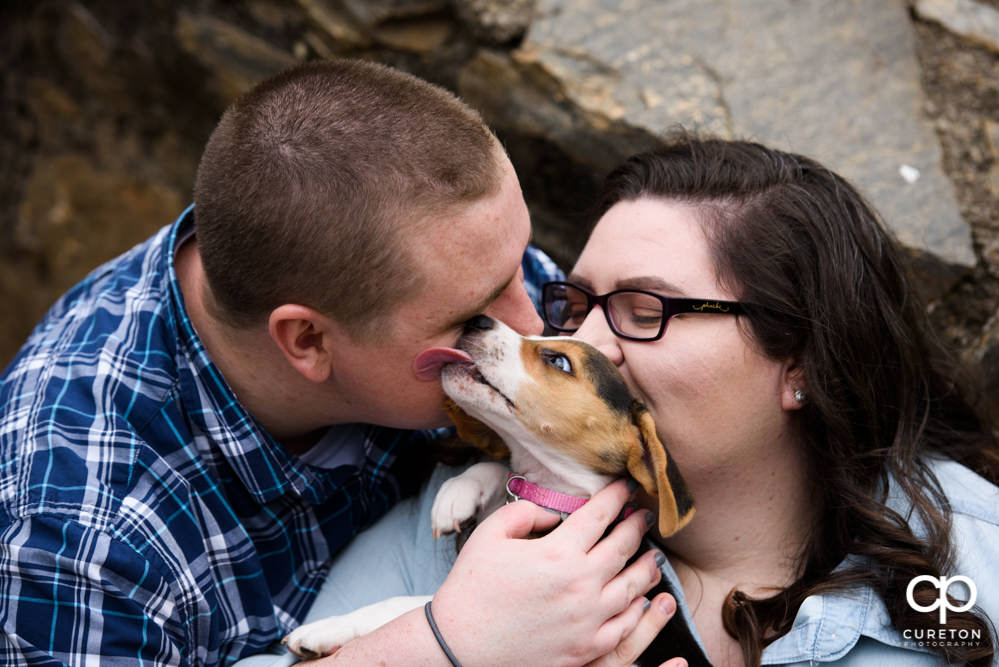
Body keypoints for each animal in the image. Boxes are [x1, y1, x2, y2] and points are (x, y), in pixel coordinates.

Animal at [286, 316, 700, 664]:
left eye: (558, 361)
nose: (477, 319)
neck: (553, 495)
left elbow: (408, 604)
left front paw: (328, 628)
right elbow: (497, 468)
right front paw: (455, 496)